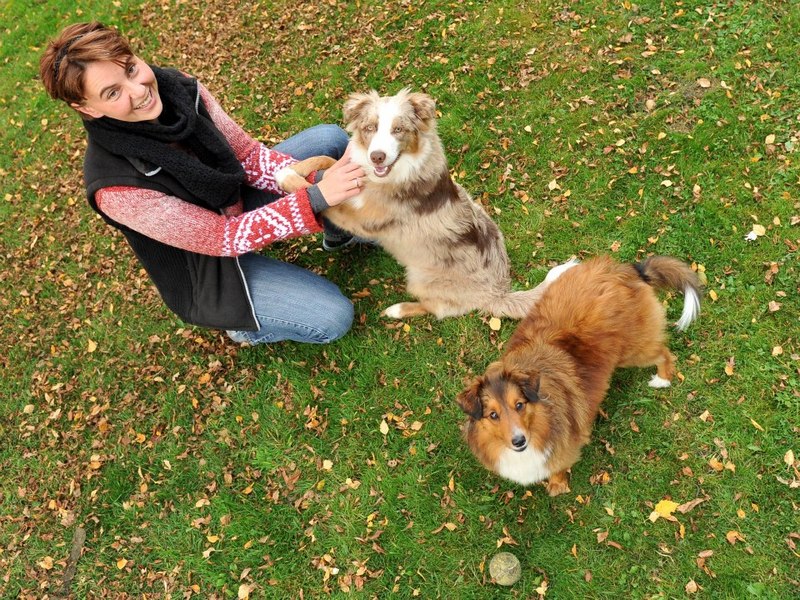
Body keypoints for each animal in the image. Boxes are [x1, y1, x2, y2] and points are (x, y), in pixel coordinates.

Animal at [277, 88, 554, 320]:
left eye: (399, 130)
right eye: (370, 128)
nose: (377, 157)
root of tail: (498, 293)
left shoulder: (363, 220)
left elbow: (325, 200)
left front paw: (288, 178)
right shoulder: (350, 173)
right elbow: (324, 160)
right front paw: (291, 168)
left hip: (421, 278)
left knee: (435, 309)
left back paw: (397, 310)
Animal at [455, 255, 702, 496]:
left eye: (519, 405)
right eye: (493, 415)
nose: (518, 441)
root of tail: (619, 271)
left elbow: (558, 468)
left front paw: (558, 485)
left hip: (633, 352)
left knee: (663, 353)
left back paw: (663, 379)